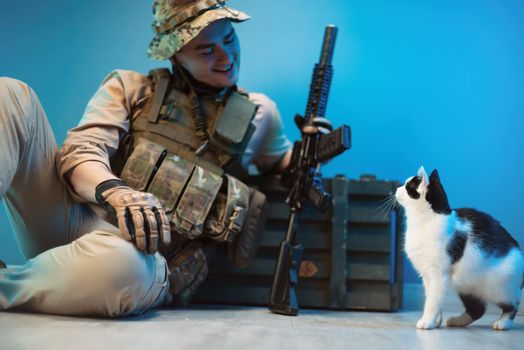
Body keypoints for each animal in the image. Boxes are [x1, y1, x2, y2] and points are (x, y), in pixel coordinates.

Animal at [396, 167, 520, 330]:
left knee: (512, 304)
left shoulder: (438, 275)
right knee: (477, 309)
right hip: (467, 286)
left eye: (407, 186)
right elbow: (433, 298)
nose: (396, 189)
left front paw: (427, 321)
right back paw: (456, 321)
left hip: (499, 288)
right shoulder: (427, 276)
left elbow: (432, 301)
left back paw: (503, 322)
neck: (424, 221)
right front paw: (436, 321)